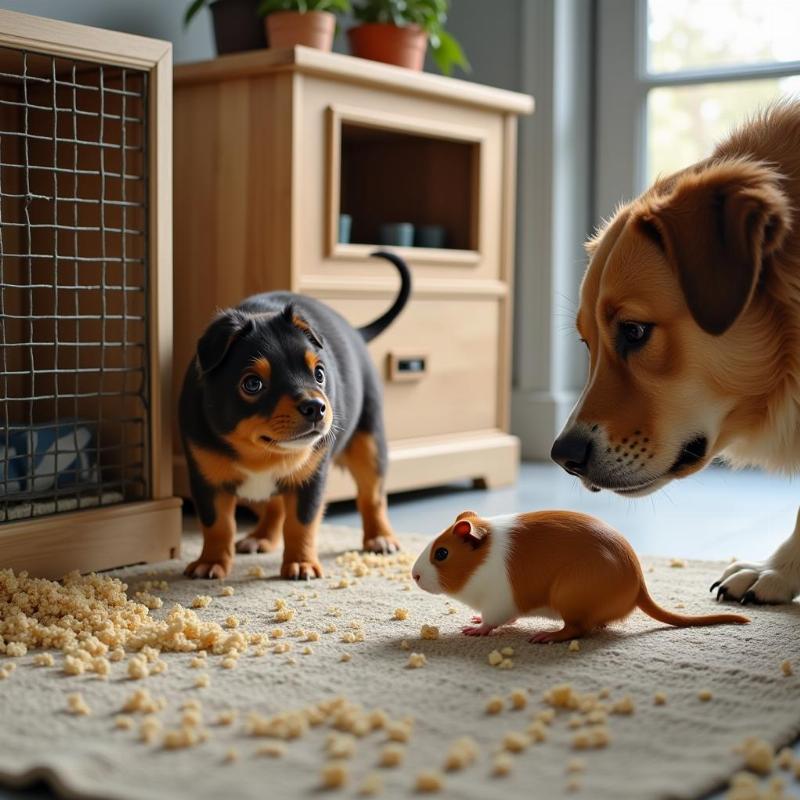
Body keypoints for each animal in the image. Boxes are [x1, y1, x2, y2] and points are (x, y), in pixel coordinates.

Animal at [182, 253, 412, 580]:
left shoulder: (310, 477)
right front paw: (211, 562)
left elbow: (301, 524)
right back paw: (260, 538)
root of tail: (355, 331)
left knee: (373, 496)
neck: (261, 453)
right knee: (275, 507)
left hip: (369, 443)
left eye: (319, 374)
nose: (316, 407)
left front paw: (301, 564)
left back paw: (380, 538)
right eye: (252, 384)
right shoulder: (206, 479)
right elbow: (218, 525)